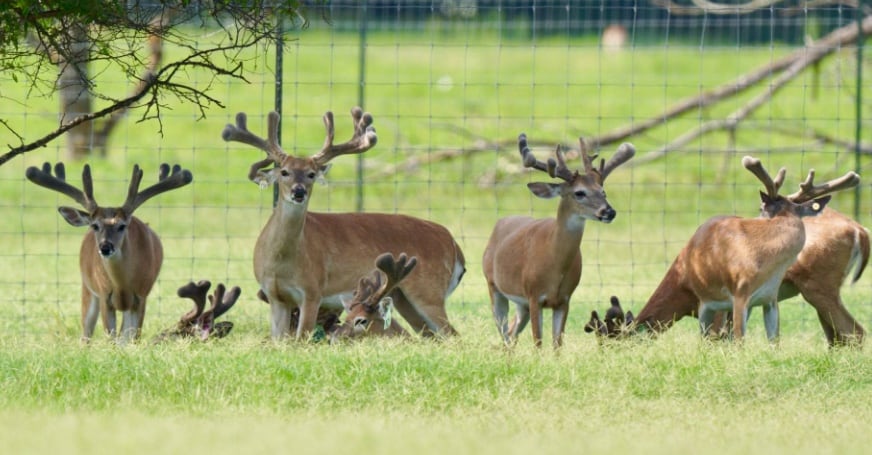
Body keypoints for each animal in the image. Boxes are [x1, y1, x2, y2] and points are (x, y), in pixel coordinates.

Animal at [25, 161, 193, 343]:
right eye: (95, 225)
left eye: (122, 226)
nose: (105, 247)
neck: (122, 287)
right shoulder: (104, 295)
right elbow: (110, 338)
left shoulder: (141, 295)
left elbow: (133, 337)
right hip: (87, 288)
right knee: (86, 334)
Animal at [221, 107, 466, 341]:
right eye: (284, 172)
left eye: (311, 174)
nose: (298, 192)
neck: (282, 262)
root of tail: (452, 242)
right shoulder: (275, 296)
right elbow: (278, 340)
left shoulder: (313, 290)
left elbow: (301, 338)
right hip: (402, 297)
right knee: (432, 336)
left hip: (429, 290)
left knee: (452, 334)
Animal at [482, 133, 636, 348]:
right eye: (579, 192)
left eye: (602, 191)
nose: (609, 212)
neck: (554, 266)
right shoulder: (534, 295)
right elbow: (538, 342)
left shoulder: (564, 299)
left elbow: (557, 344)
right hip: (493, 285)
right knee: (504, 332)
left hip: (521, 304)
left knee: (512, 332)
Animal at [586, 156, 860, 343]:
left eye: (612, 343)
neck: (681, 283)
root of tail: (860, 230)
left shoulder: (716, 305)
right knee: (839, 336)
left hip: (819, 286)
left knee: (854, 332)